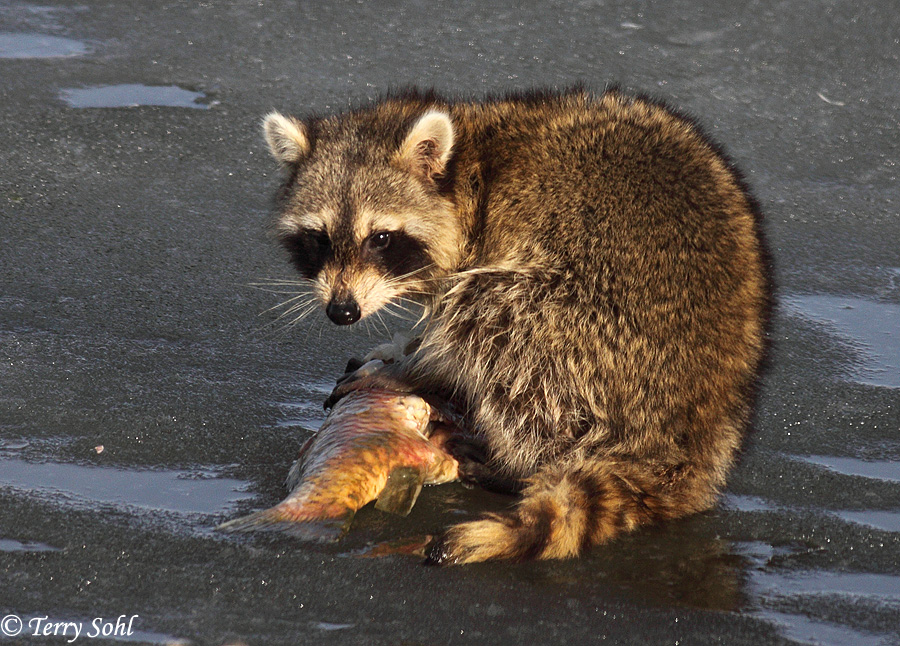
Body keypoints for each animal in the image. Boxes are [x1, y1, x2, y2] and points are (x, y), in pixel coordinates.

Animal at [262, 88, 771, 565]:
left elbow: (457, 322)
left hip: (596, 333)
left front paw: (414, 367)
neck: (471, 166)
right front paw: (403, 345)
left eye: (381, 239)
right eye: (319, 239)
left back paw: (512, 462)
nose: (342, 311)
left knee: (493, 314)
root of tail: (693, 438)